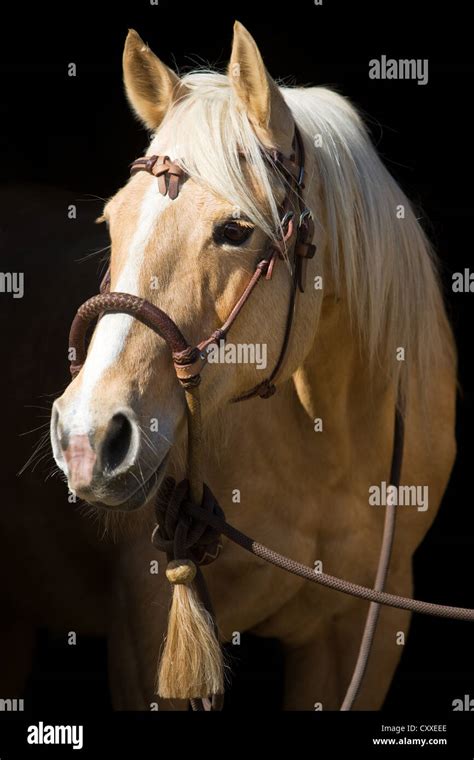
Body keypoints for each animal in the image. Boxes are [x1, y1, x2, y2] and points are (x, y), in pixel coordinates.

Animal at [47, 22, 456, 712]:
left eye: (236, 230)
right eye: (112, 220)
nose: (87, 436)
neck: (329, 449)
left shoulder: (363, 633)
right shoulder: (144, 629)